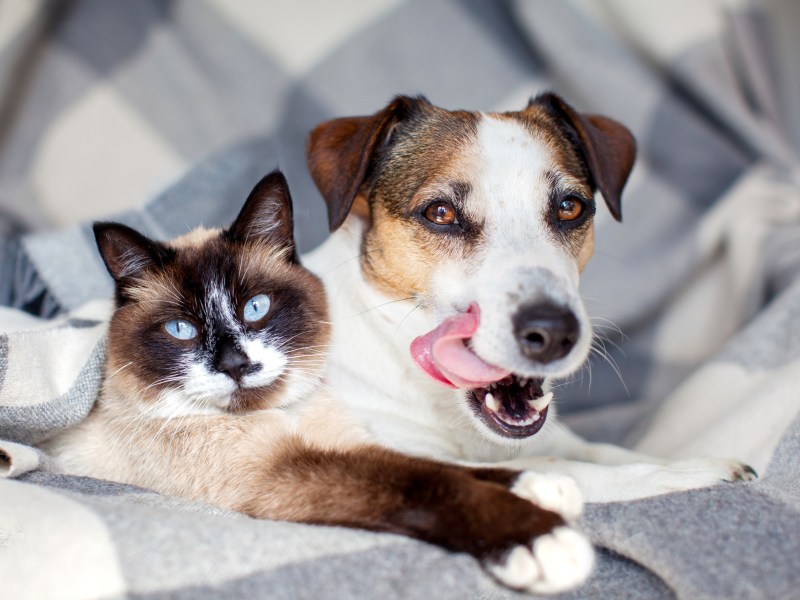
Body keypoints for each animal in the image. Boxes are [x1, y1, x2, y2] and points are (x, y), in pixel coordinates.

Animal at [43, 171, 592, 596]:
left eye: (256, 308)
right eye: (182, 330)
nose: (235, 364)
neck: (286, 412)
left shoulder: (351, 444)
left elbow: (444, 466)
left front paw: (539, 485)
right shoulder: (283, 476)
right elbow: (432, 484)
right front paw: (541, 540)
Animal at [302, 94, 756, 504]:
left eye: (570, 207)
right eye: (441, 213)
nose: (553, 332)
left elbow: (592, 450)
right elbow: (559, 467)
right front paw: (683, 473)